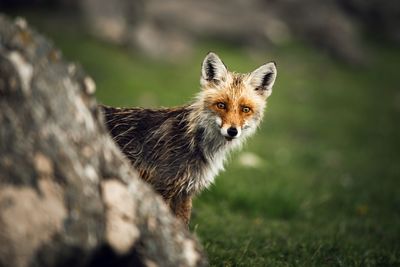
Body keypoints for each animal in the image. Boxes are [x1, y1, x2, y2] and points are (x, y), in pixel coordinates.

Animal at [101, 52, 276, 226]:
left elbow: (183, 223)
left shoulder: (186, 192)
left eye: (245, 109)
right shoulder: (162, 186)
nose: (232, 131)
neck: (193, 141)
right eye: (221, 105)